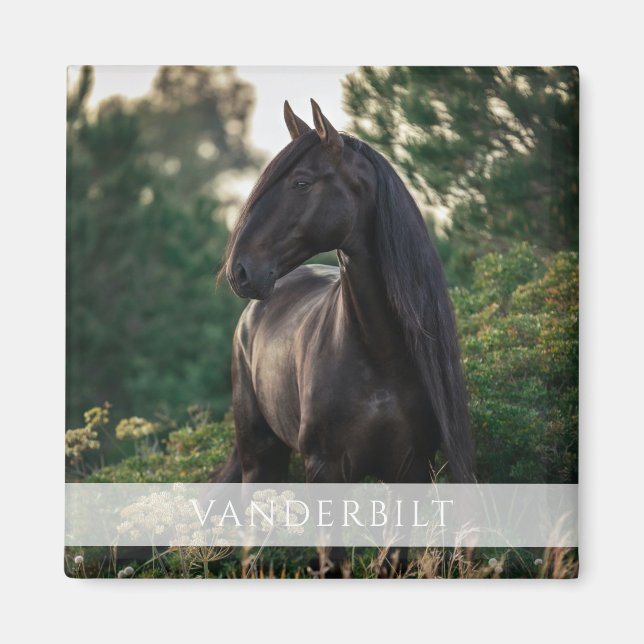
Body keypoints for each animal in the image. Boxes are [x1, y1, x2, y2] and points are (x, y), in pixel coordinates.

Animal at [217, 99, 474, 487]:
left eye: (302, 182)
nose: (240, 270)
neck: (381, 354)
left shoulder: (413, 468)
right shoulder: (325, 468)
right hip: (260, 462)